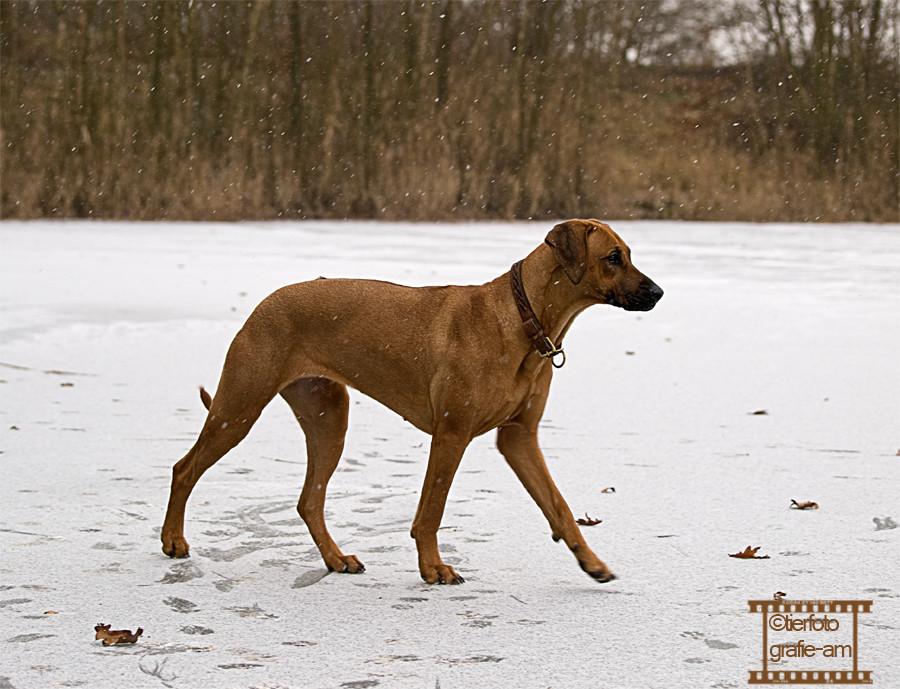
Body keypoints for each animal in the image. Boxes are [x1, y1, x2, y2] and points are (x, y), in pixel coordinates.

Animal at [163, 219, 660, 580]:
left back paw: (336, 559)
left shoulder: (520, 438)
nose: (657, 292)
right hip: (239, 408)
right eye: (613, 257)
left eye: (628, 254)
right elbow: (432, 511)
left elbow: (559, 506)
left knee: (309, 500)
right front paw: (433, 568)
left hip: (328, 416)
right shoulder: (452, 433)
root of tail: (262, 303)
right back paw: (173, 541)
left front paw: (591, 562)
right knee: (184, 469)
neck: (523, 319)